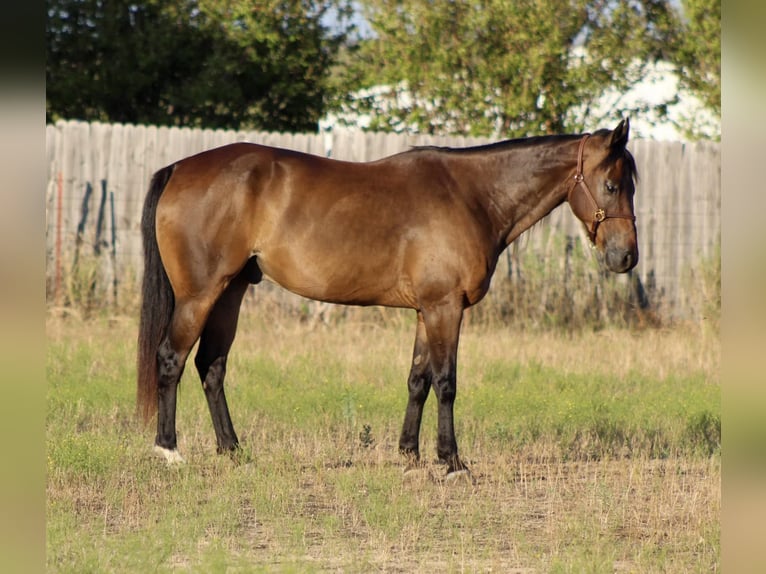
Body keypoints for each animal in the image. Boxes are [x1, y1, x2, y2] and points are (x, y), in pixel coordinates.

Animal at [138, 120, 640, 476]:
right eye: (612, 185)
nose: (626, 257)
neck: (472, 195)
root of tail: (179, 168)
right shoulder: (444, 309)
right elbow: (446, 382)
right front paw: (452, 461)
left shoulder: (426, 311)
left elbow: (418, 380)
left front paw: (410, 455)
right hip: (201, 294)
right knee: (171, 358)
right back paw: (170, 451)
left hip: (232, 292)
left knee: (211, 366)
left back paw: (233, 450)